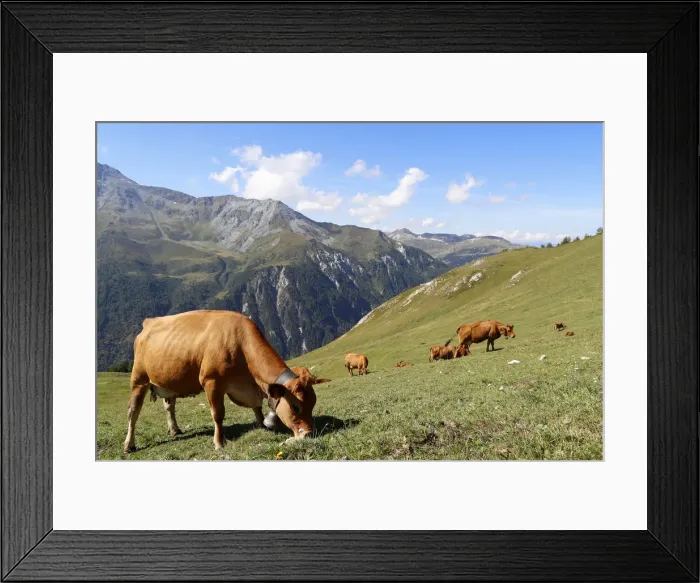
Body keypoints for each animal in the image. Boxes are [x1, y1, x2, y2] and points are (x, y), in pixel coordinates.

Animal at [124, 310, 318, 453]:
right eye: (295, 407)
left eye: (313, 404)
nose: (309, 433)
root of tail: (149, 322)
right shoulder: (212, 382)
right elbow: (218, 414)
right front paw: (219, 442)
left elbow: (257, 408)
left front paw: (263, 426)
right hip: (139, 380)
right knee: (133, 412)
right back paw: (129, 445)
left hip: (168, 382)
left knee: (169, 406)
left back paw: (175, 430)